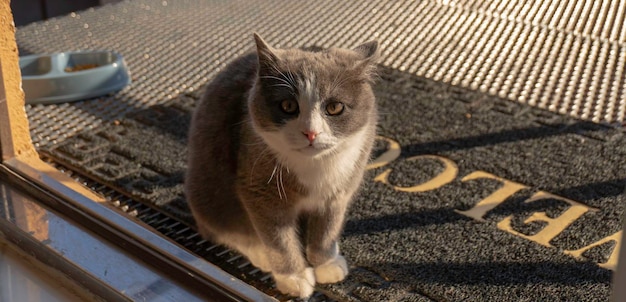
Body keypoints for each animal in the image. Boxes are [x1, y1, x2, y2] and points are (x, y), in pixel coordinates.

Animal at [183, 33, 378, 298]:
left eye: (334, 107)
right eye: (288, 106)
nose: (310, 132)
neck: (315, 165)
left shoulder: (340, 189)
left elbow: (327, 227)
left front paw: (326, 263)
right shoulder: (260, 190)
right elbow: (279, 239)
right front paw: (294, 277)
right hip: (208, 189)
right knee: (224, 228)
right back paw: (259, 253)